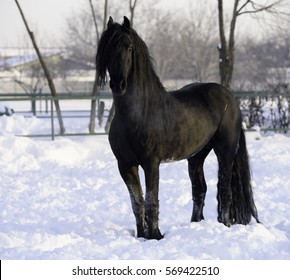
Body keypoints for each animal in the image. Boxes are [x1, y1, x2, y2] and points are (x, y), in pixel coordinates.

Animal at [95, 16, 258, 240]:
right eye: (108, 48)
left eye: (128, 47)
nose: (118, 85)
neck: (139, 113)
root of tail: (229, 97)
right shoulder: (125, 165)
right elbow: (137, 202)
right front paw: (141, 235)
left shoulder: (151, 163)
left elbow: (151, 200)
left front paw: (155, 235)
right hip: (196, 156)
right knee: (199, 189)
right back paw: (195, 225)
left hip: (225, 151)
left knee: (224, 189)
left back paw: (224, 225)